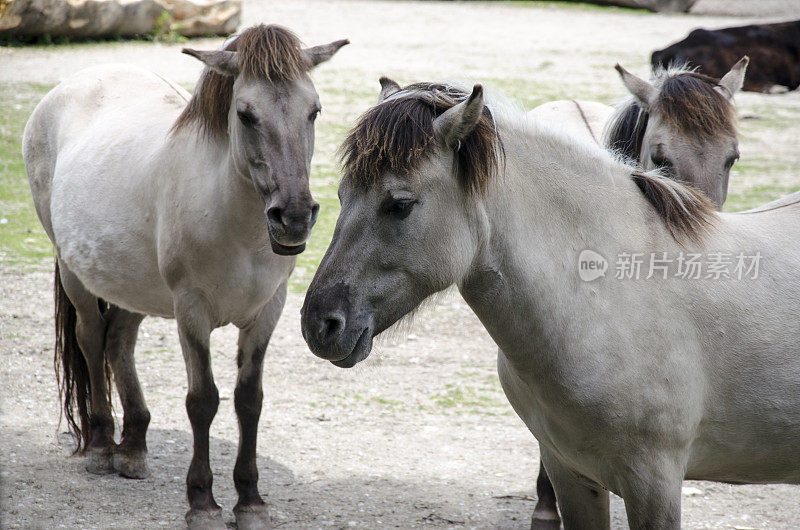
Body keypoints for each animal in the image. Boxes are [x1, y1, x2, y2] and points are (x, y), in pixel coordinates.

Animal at [21, 22, 346, 524]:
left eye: (314, 111)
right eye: (246, 114)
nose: (293, 217)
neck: (236, 226)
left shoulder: (267, 311)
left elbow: (249, 399)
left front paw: (250, 501)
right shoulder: (191, 310)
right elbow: (203, 400)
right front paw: (203, 503)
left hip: (135, 284)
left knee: (119, 342)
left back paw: (133, 448)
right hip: (74, 271)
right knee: (92, 339)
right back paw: (101, 446)